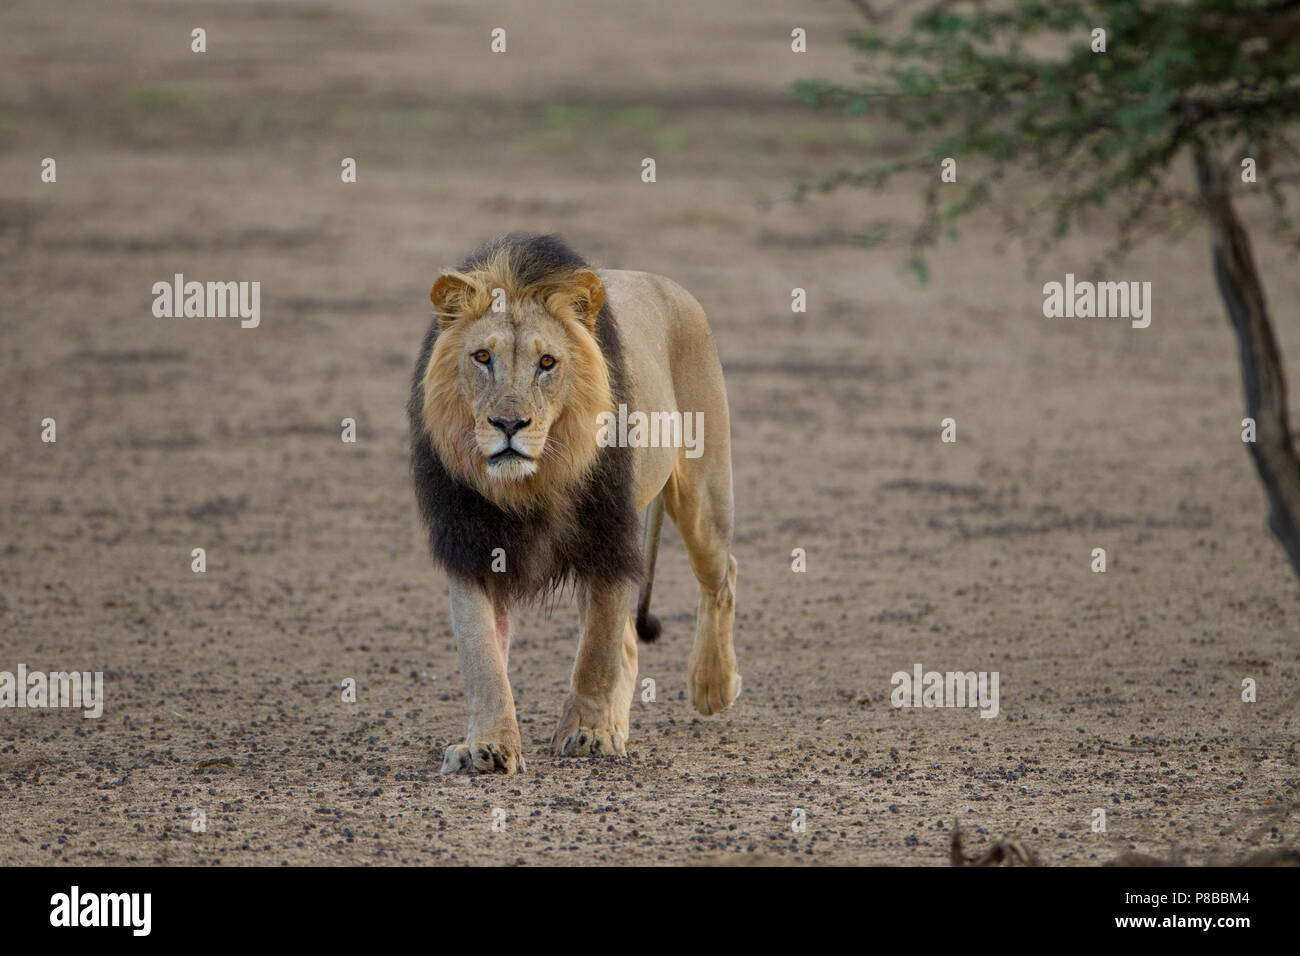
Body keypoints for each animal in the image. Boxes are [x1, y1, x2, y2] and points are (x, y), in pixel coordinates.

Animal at [405, 234, 743, 780]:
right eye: (482, 357)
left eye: (547, 363)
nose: (508, 424)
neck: (530, 485)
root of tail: (668, 284)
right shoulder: (472, 545)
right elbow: (483, 658)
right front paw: (487, 747)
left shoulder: (608, 539)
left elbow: (596, 653)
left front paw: (590, 733)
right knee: (629, 640)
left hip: (704, 496)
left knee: (721, 576)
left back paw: (712, 684)